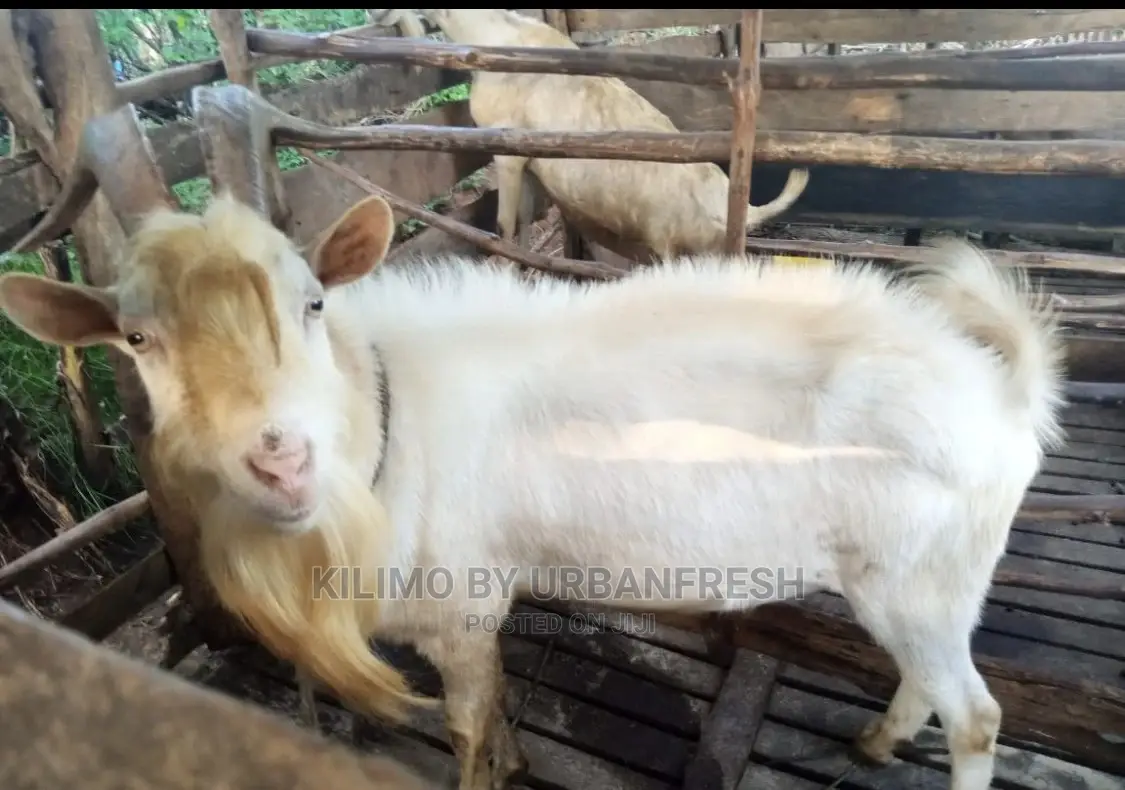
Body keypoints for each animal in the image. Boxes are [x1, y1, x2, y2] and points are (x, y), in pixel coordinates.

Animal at [0, 192, 1065, 790]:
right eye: (137, 340)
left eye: (312, 302)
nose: (280, 461)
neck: (387, 427)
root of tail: (1002, 389)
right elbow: (503, 701)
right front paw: (517, 761)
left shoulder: (459, 603)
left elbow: (469, 726)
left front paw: (492, 768)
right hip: (918, 582)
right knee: (929, 682)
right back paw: (877, 742)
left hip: (920, 578)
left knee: (977, 715)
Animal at [373, 8, 810, 261]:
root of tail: (741, 208)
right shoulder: (528, 160)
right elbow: (525, 223)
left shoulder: (505, 149)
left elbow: (504, 227)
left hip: (673, 243)